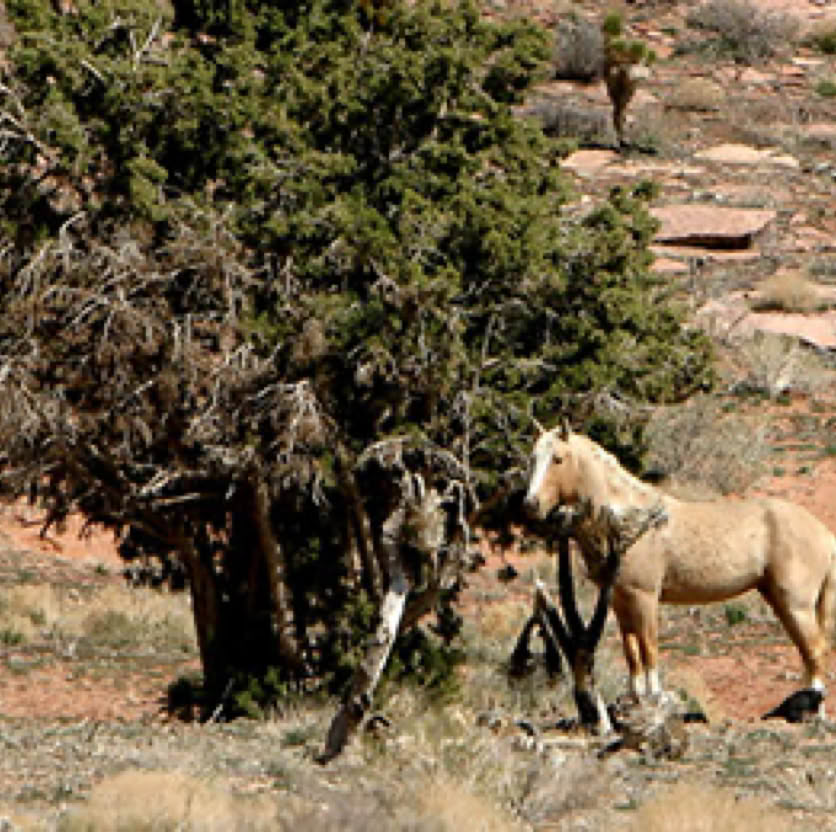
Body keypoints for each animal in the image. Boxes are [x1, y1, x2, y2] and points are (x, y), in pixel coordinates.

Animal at [524, 421, 836, 703]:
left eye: (558, 458)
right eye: (533, 457)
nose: (530, 504)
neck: (630, 518)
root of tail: (824, 533)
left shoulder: (645, 597)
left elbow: (649, 646)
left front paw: (655, 694)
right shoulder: (619, 600)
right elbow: (631, 649)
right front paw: (635, 696)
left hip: (796, 603)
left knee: (816, 648)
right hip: (779, 599)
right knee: (806, 648)